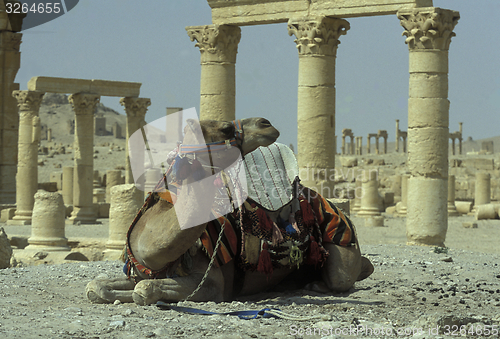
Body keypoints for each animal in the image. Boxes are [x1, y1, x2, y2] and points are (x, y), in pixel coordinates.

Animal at [88, 117, 374, 306]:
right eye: (225, 127)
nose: (267, 123)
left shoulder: (213, 284)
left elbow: (144, 290)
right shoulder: (140, 268)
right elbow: (97, 286)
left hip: (343, 247)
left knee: (345, 276)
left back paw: (314, 284)